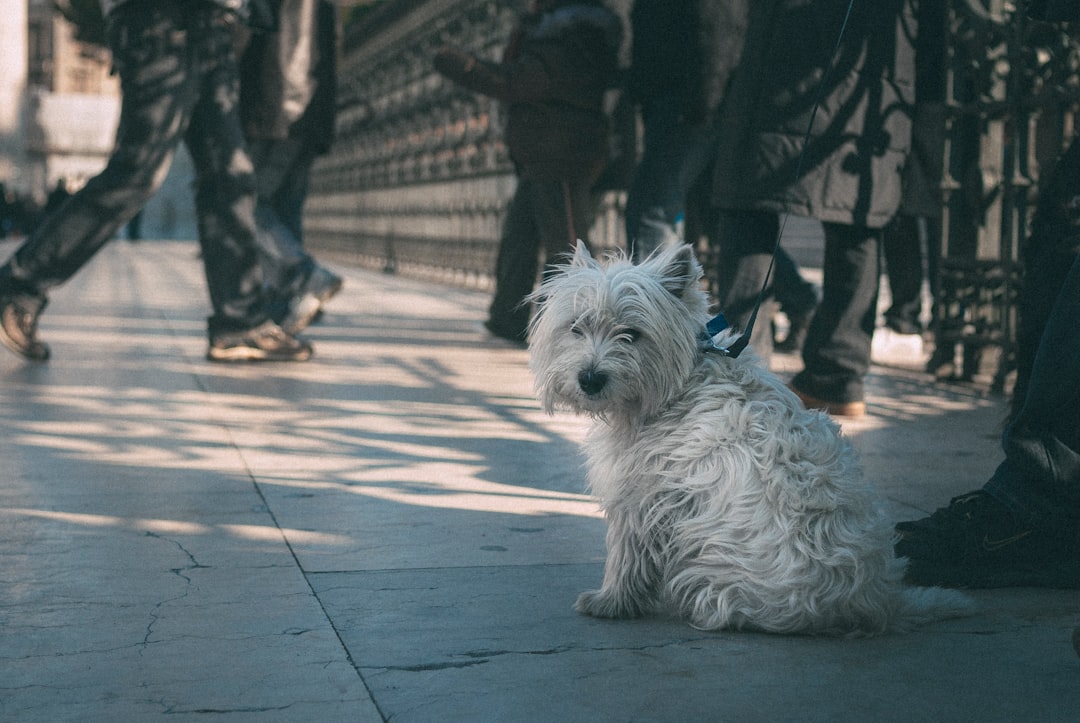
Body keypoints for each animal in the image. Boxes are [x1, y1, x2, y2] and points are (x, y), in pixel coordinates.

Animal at [527, 244, 976, 635]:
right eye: (576, 327)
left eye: (632, 334)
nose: (590, 378)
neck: (680, 382)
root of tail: (877, 601)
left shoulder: (641, 496)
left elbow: (626, 556)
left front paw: (609, 602)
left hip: (708, 569)